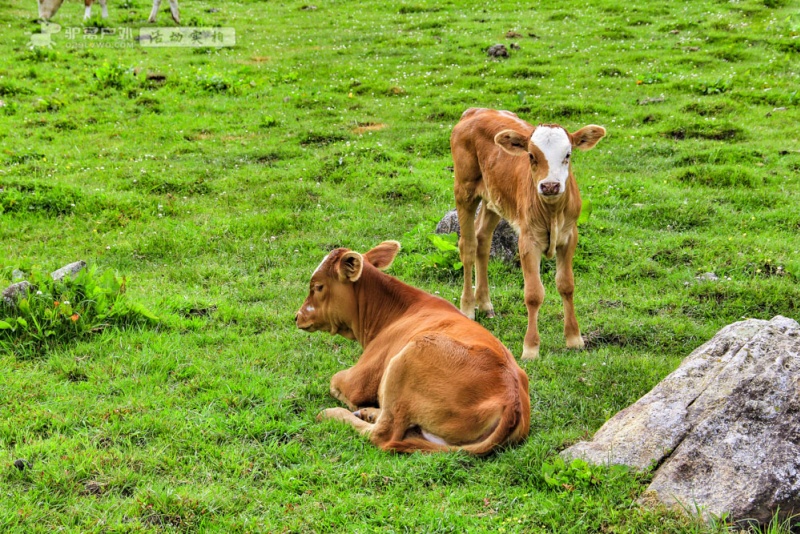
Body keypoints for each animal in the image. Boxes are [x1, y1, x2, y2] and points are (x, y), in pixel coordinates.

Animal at [296, 243, 532, 456]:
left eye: (318, 287)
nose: (297, 316)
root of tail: (512, 401)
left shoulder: (359, 380)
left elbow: (335, 382)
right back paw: (370, 413)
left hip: (407, 360)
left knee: (382, 433)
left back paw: (333, 413)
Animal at [450, 108, 608, 360]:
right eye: (531, 156)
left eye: (568, 155)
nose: (550, 185)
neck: (552, 212)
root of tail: (477, 111)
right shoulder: (527, 240)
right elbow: (533, 293)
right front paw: (531, 348)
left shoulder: (569, 236)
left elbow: (566, 285)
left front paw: (574, 338)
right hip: (464, 189)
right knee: (468, 246)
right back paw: (467, 308)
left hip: (494, 199)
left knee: (483, 240)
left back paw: (485, 304)